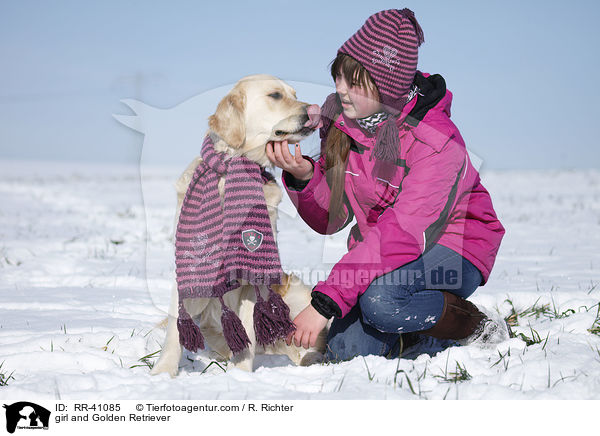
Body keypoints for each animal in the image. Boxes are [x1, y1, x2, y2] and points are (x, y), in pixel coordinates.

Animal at [150, 73, 328, 376]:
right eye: (275, 95)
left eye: (295, 93)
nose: (314, 110)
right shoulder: (187, 262)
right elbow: (176, 327)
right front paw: (163, 371)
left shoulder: (251, 276)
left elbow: (247, 330)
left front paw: (241, 375)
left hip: (295, 298)